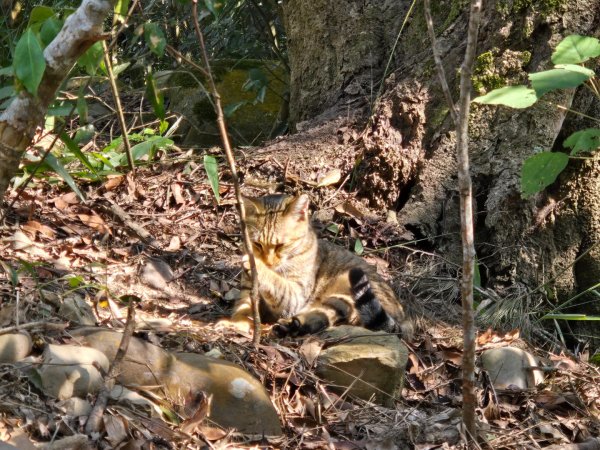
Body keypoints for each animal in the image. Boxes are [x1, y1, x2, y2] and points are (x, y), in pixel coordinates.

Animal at [231, 192, 412, 338]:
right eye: (257, 244)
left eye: (281, 245)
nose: (268, 263)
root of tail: (404, 317)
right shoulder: (248, 288)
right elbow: (244, 304)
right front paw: (236, 322)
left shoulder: (295, 296)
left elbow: (278, 284)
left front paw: (258, 266)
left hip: (347, 287)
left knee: (333, 315)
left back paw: (293, 326)